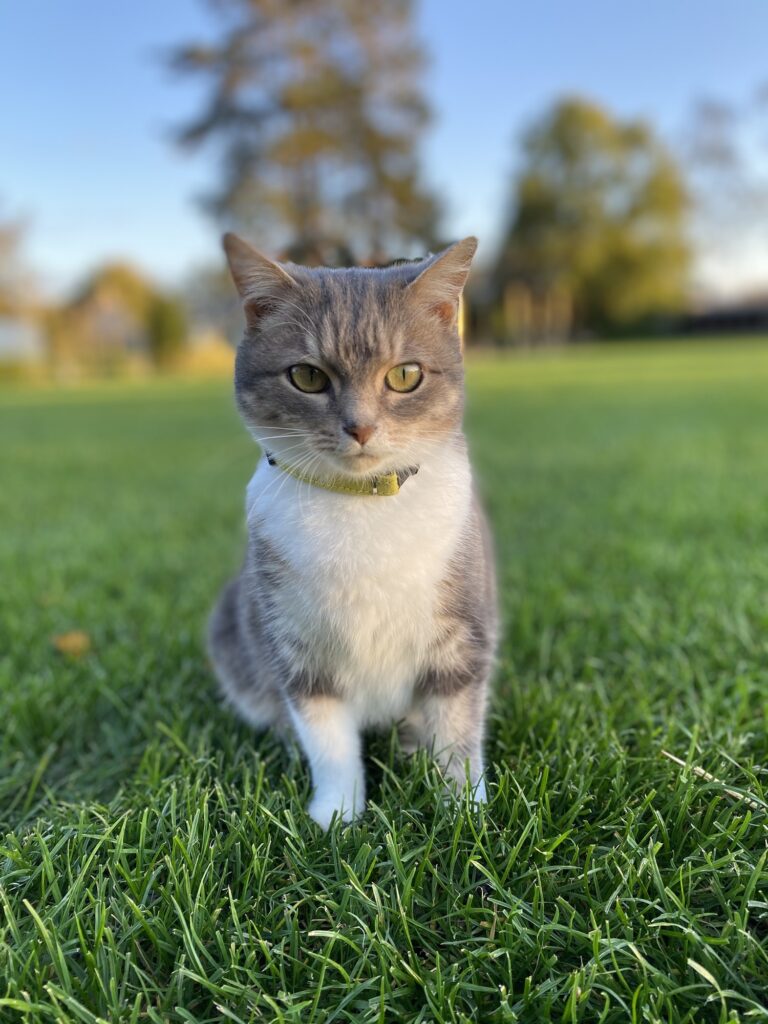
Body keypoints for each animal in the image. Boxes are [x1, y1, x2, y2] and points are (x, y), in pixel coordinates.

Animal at [208, 235, 499, 827]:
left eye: (405, 375)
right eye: (307, 377)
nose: (360, 427)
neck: (361, 506)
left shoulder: (462, 634)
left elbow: (458, 732)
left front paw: (464, 812)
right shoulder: (298, 649)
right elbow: (329, 743)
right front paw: (336, 818)